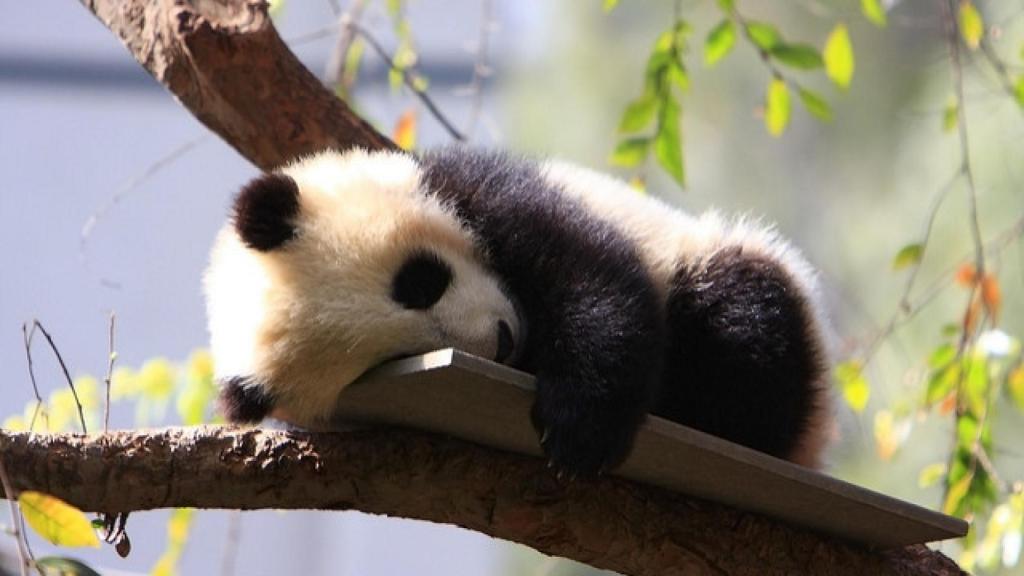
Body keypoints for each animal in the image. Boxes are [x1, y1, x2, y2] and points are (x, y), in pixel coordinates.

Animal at [204, 146, 831, 475]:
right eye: (398, 357)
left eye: (420, 282)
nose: (503, 341)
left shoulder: (483, 190)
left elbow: (592, 277)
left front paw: (580, 430)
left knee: (742, 322)